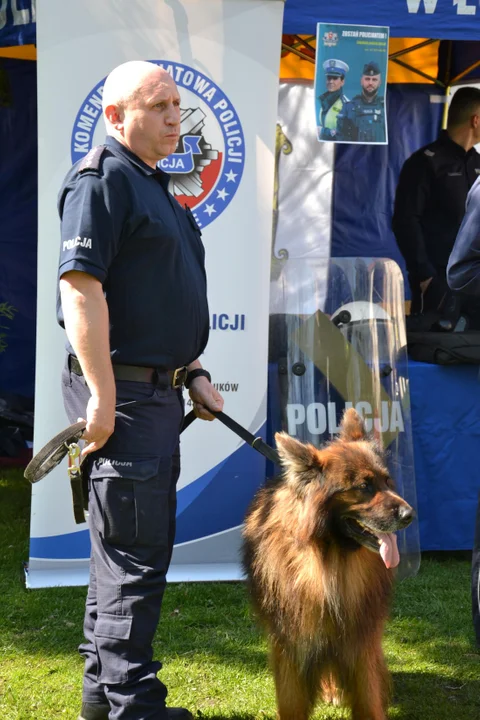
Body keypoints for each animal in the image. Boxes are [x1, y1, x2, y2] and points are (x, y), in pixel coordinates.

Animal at [242, 410, 414, 720]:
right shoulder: (292, 648)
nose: (410, 515)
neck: (330, 562)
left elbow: (369, 700)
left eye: (387, 481)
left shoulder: (361, 646)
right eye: (364, 486)